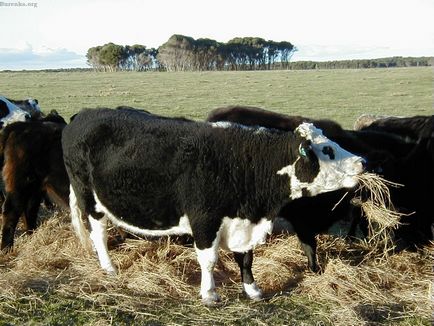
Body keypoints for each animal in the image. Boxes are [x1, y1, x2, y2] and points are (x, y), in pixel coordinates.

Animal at [0, 112, 69, 250]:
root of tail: (21, 126)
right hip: (20, 185)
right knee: (11, 211)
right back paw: (6, 248)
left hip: (34, 188)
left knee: (30, 209)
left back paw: (32, 234)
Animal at [62, 108, 366, 304]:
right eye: (328, 150)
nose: (362, 161)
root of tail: (83, 114)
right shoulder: (205, 220)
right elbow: (208, 260)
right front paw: (209, 294)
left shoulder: (243, 220)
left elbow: (246, 257)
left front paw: (252, 290)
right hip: (90, 199)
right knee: (99, 235)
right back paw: (108, 267)